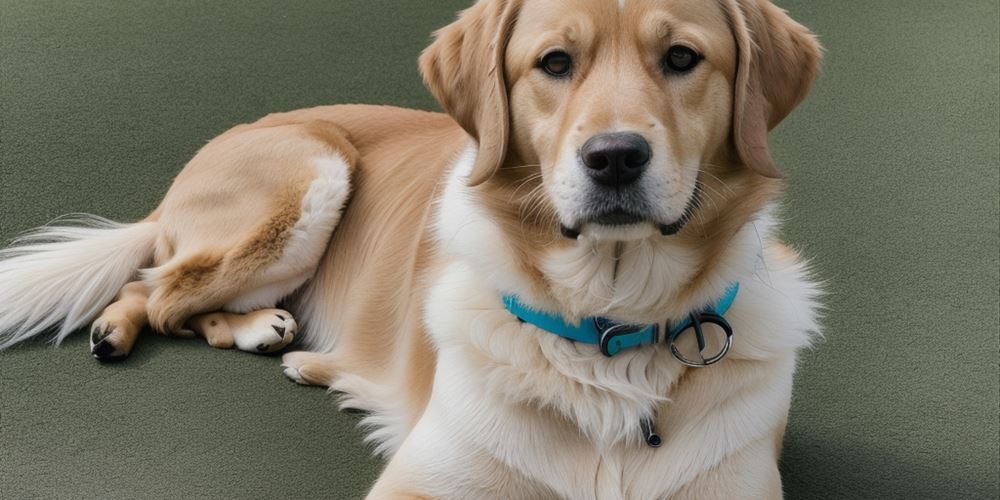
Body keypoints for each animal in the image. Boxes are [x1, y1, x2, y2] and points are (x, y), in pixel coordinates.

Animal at [0, 0, 824, 496]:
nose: (615, 157)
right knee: (157, 287)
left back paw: (274, 338)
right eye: (555, 63)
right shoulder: (425, 479)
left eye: (682, 58)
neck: (610, 330)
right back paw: (121, 330)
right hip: (313, 171)